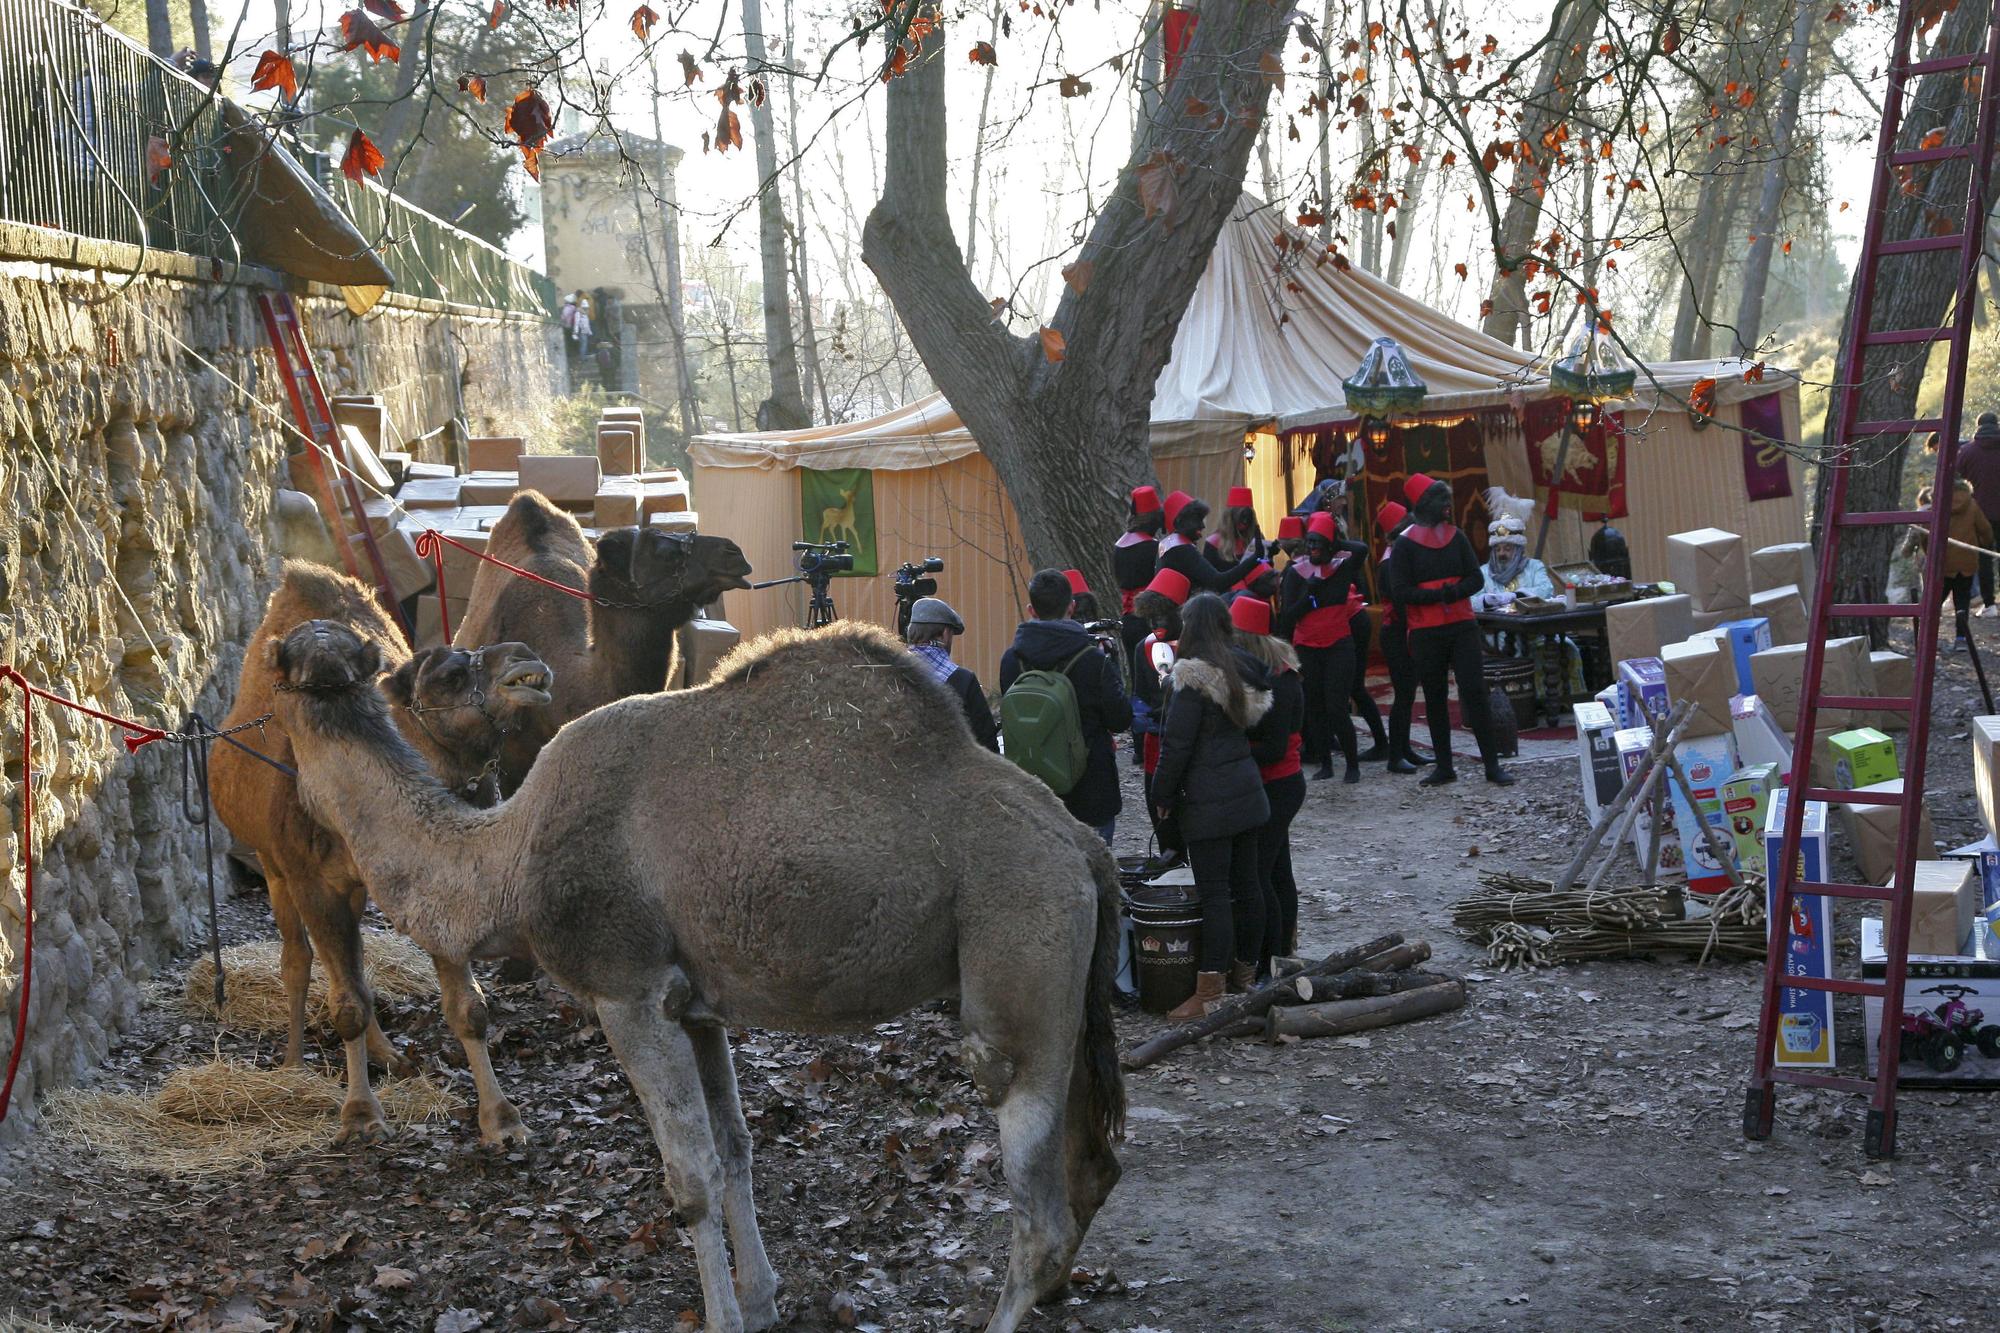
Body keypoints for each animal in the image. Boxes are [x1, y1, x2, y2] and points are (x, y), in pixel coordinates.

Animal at [212, 560, 560, 1144]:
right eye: (450, 676)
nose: (523, 656)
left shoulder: (427, 875)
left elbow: (466, 1007)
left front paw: (501, 1120)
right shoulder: (312, 880)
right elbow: (345, 1001)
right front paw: (360, 1116)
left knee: (352, 965)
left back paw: (388, 1056)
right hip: (275, 866)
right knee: (299, 959)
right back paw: (294, 1062)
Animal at [266, 616, 1128, 1320]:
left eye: (441, 670)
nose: (313, 663)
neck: (509, 858)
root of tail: (1086, 845)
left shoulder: (628, 989)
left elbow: (691, 1177)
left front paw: (723, 1312)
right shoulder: (697, 1006)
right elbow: (736, 1145)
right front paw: (760, 1296)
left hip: (1020, 942)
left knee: (1038, 1204)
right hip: (1066, 984)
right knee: (1093, 1167)